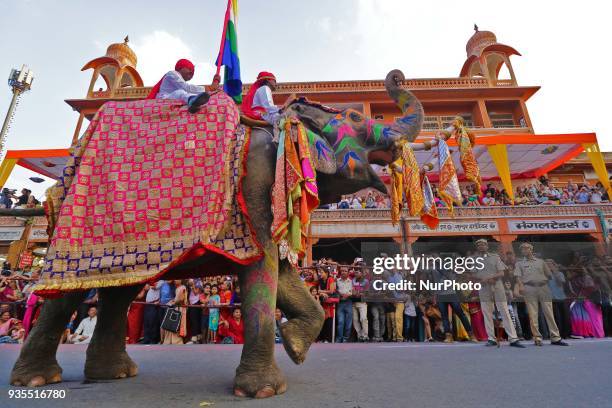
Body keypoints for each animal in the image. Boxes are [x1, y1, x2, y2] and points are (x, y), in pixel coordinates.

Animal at [8, 69, 430, 398]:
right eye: (356, 119)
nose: (397, 75)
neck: (282, 125)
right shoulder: (256, 184)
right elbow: (263, 273)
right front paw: (263, 391)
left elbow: (285, 276)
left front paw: (294, 346)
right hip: (76, 220)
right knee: (70, 293)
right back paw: (37, 380)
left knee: (122, 290)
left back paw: (113, 375)